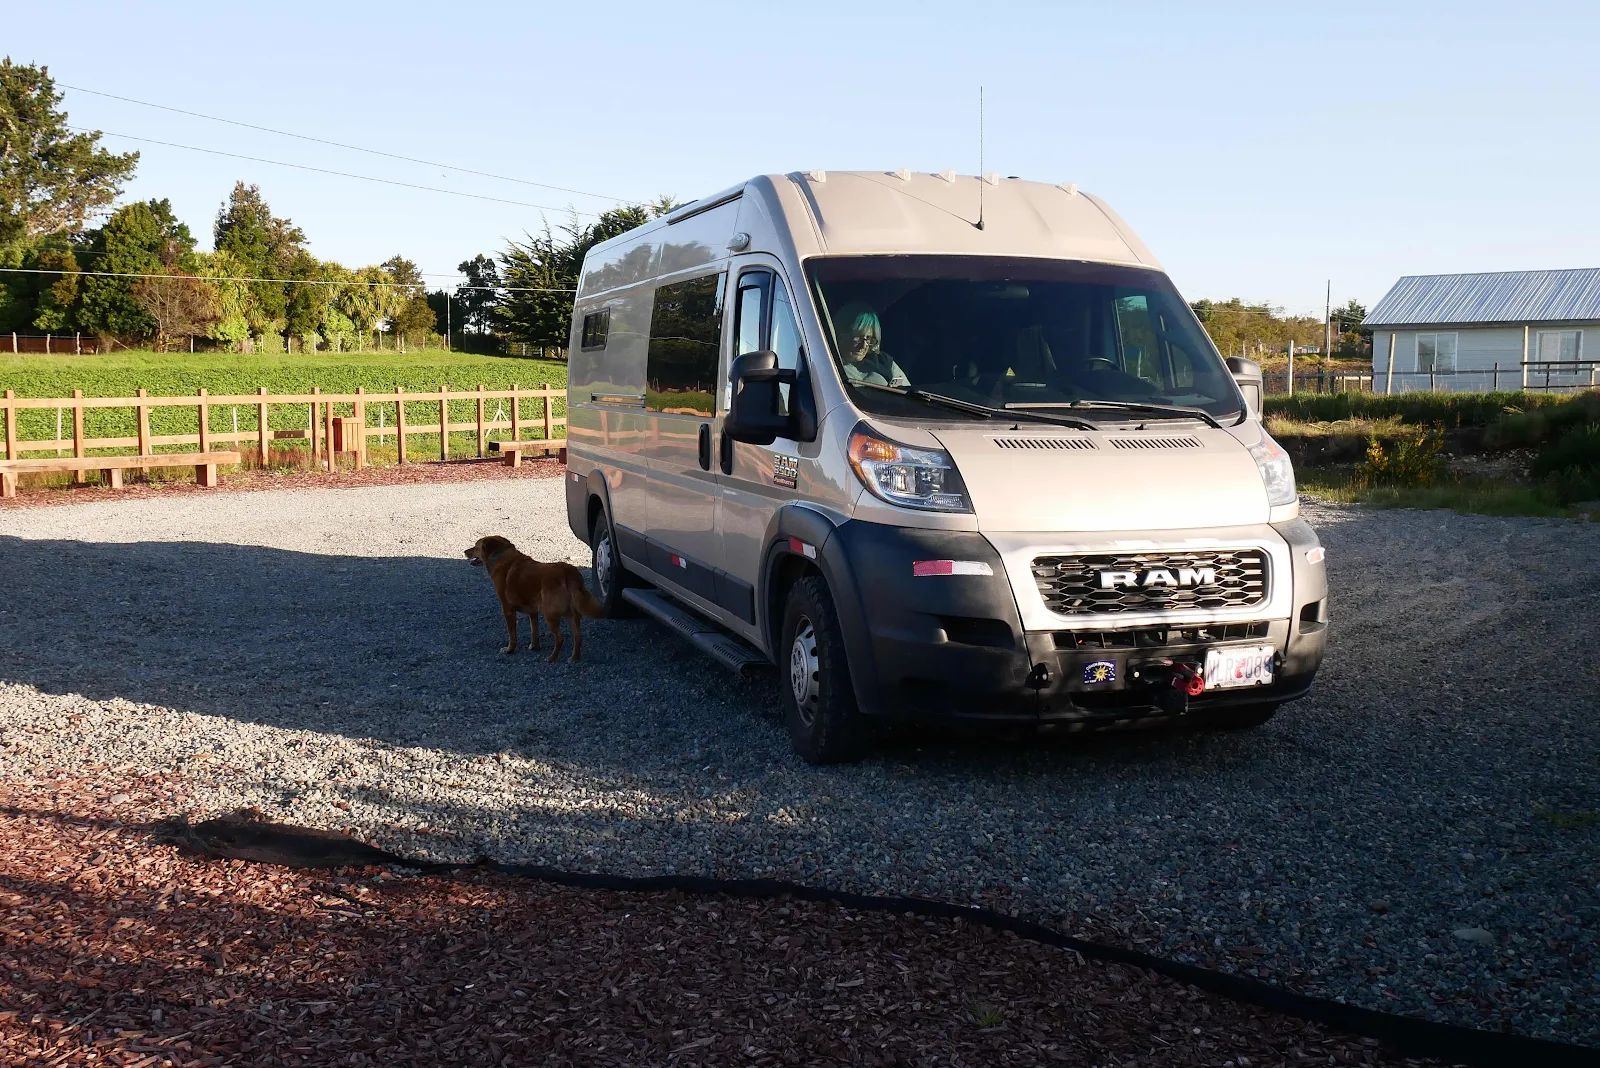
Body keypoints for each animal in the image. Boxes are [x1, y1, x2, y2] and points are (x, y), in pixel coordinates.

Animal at [464, 535, 605, 661]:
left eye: (476, 546)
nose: (465, 551)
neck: (500, 556)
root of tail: (568, 572)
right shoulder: (532, 611)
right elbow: (534, 631)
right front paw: (534, 647)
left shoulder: (508, 610)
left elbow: (512, 635)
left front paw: (510, 649)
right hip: (571, 615)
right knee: (578, 636)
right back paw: (574, 658)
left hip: (550, 615)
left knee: (560, 638)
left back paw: (552, 658)